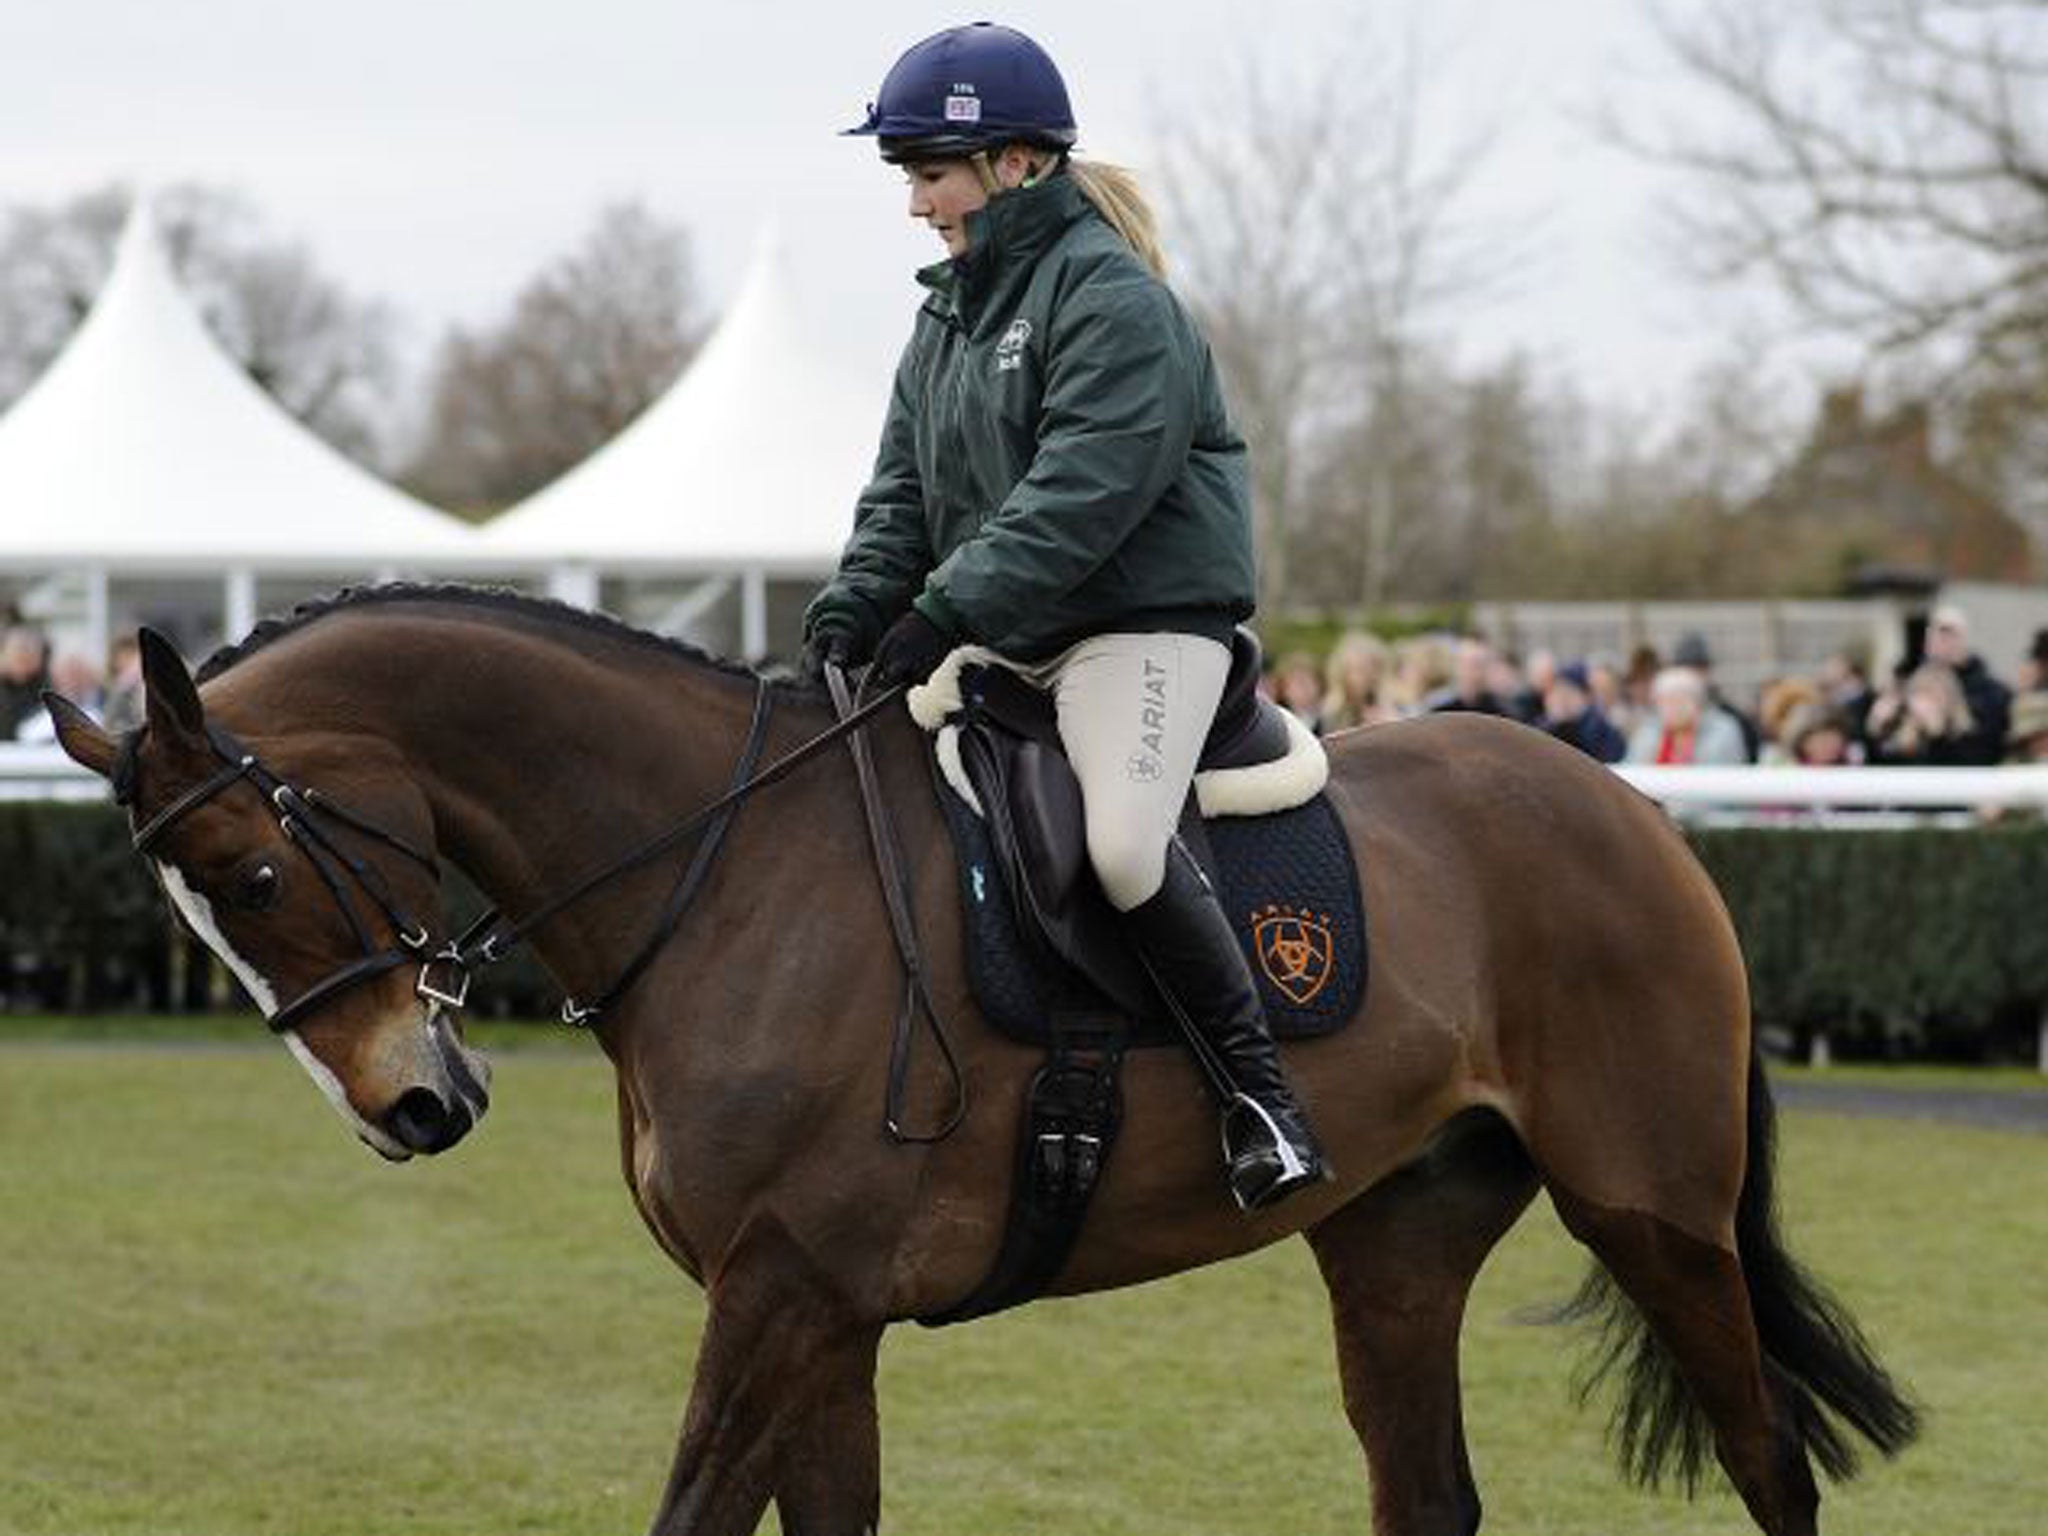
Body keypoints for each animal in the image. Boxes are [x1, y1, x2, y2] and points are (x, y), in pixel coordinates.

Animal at [39, 585, 1908, 1536]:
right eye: (202, 908)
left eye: (254, 877)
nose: (411, 1107)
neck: (727, 870)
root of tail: (1625, 809)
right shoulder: (816, 1316)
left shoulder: (783, 1295)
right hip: (1395, 1243)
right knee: (1428, 1494)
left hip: (1653, 1213)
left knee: (1767, 1461)